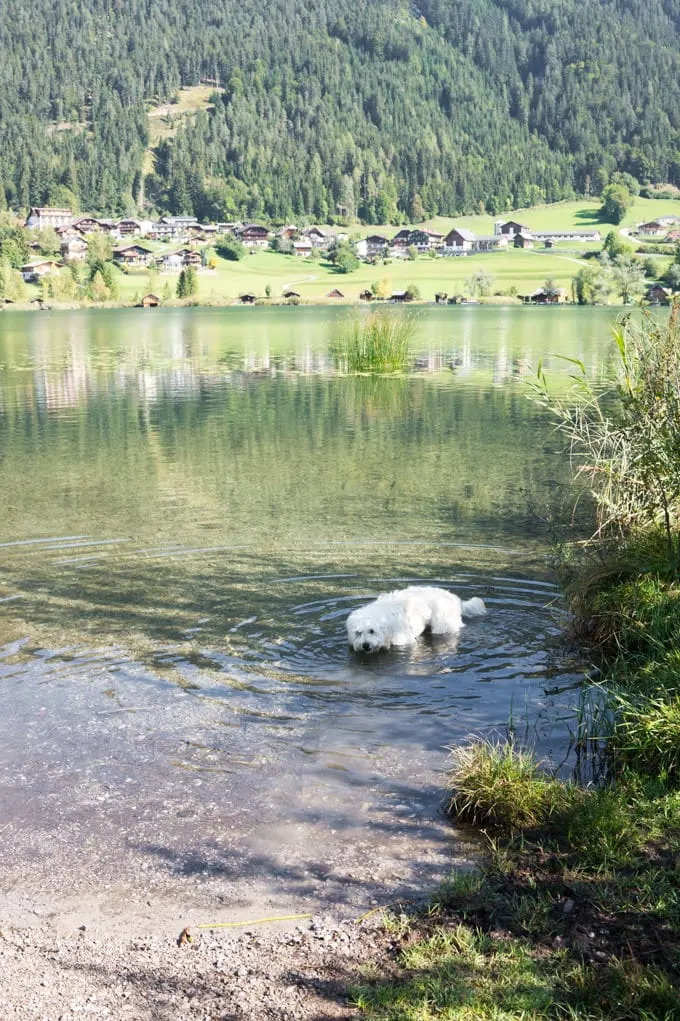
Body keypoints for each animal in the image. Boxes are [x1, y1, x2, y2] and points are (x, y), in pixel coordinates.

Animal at [347, 584, 483, 653]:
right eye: (358, 633)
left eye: (372, 631)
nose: (365, 645)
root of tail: (455, 598)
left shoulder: (403, 640)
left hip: (443, 626)